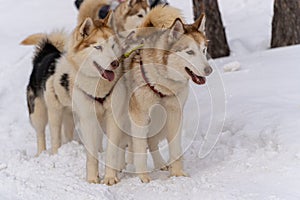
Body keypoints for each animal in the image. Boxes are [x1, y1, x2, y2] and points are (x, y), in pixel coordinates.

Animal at [120, 5, 212, 183]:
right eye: (190, 52)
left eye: (203, 50)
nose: (209, 70)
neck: (162, 84)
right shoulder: (139, 116)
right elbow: (140, 150)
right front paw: (143, 178)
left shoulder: (174, 114)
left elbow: (175, 148)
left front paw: (177, 174)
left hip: (158, 121)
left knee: (151, 143)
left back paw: (160, 164)